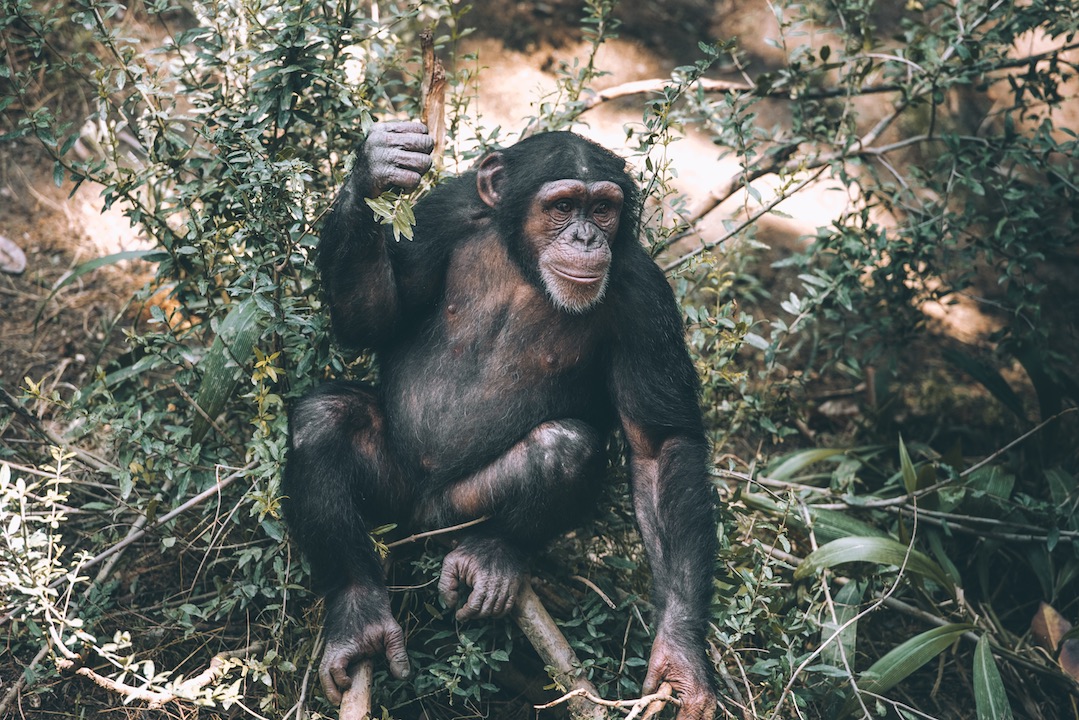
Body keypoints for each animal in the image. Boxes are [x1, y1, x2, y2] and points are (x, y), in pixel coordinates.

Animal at [282, 120, 716, 716]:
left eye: (603, 209)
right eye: (563, 205)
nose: (587, 238)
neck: (525, 267)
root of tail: (419, 520)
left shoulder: (642, 298)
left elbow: (659, 446)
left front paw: (681, 654)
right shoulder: (443, 213)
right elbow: (373, 320)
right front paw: (377, 166)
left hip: (457, 511)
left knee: (564, 446)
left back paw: (493, 557)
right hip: (392, 491)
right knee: (323, 420)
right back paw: (358, 616)